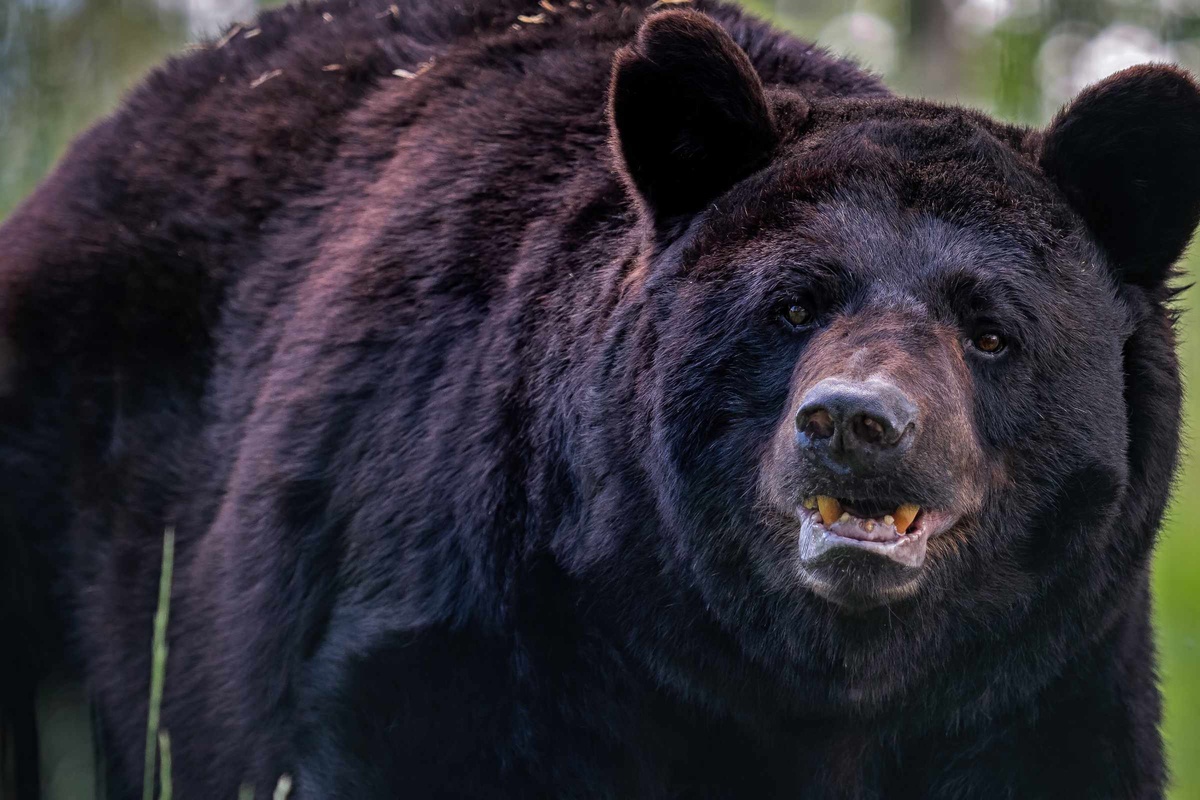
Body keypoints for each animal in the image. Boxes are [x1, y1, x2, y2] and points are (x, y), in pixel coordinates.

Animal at [2, 0, 1199, 797]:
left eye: (991, 328)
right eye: (791, 304)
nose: (854, 424)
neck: (803, 680)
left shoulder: (1036, 683)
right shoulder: (481, 626)